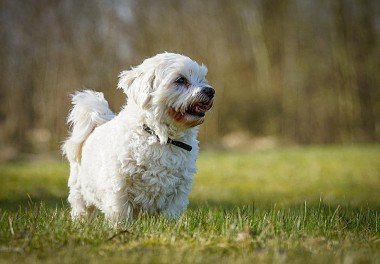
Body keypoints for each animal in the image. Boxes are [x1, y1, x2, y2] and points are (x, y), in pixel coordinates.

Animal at [63, 52, 215, 222]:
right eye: (180, 80)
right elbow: (121, 214)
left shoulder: (178, 191)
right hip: (79, 192)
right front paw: (121, 227)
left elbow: (170, 215)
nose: (210, 91)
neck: (160, 137)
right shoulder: (119, 186)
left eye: (202, 78)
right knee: (82, 210)